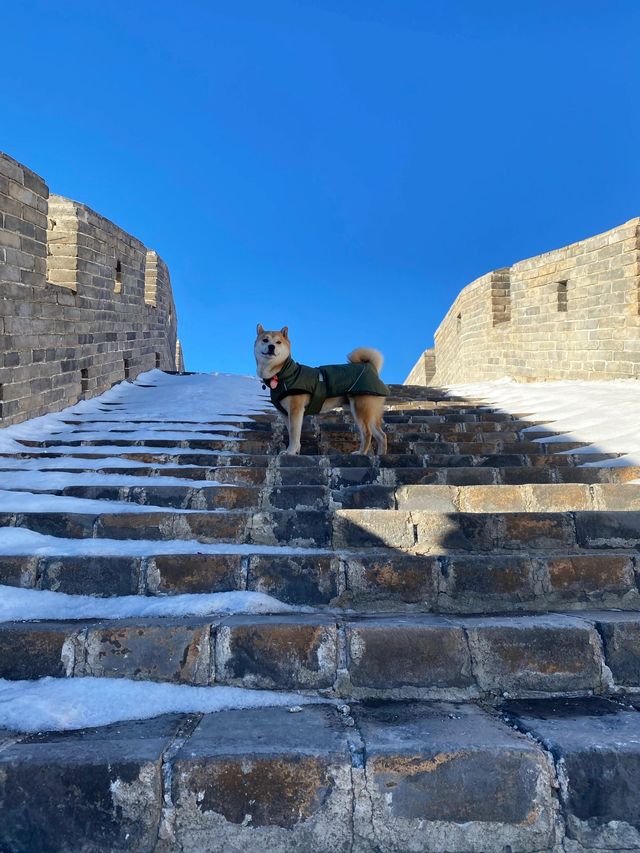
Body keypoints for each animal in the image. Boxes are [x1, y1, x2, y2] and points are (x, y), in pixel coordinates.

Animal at [255, 322, 390, 452]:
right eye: (265, 340)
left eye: (278, 342)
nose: (271, 346)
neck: (284, 373)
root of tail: (371, 367)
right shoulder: (285, 414)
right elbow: (293, 434)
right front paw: (296, 451)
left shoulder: (295, 410)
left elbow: (294, 434)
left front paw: (290, 452)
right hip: (370, 412)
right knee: (381, 436)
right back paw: (380, 455)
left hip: (360, 409)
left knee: (368, 433)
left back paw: (361, 453)